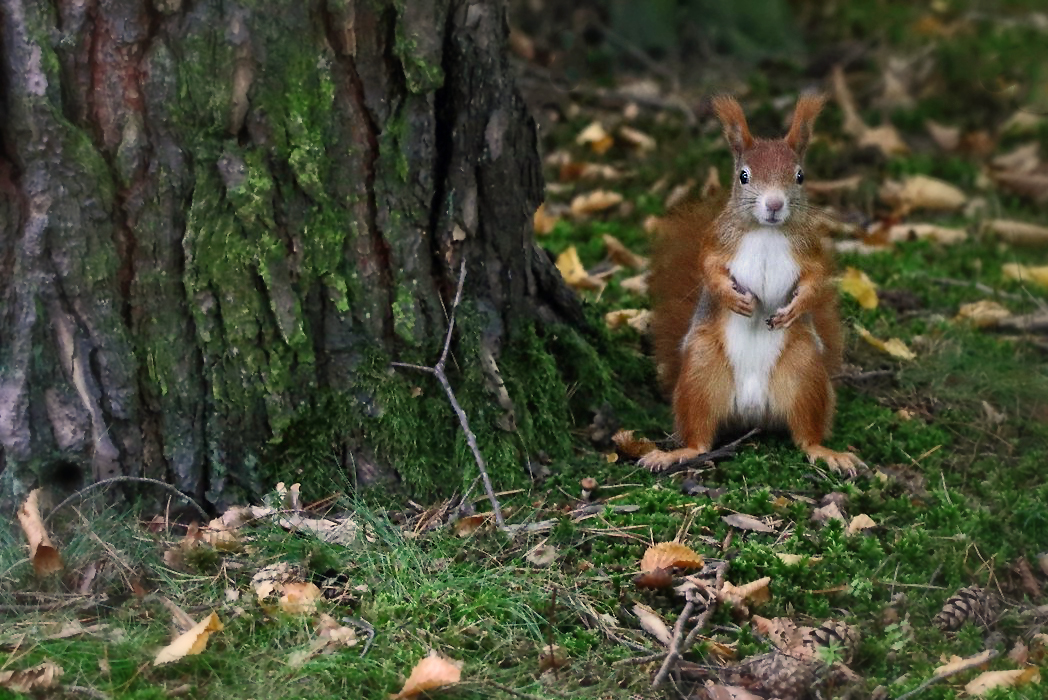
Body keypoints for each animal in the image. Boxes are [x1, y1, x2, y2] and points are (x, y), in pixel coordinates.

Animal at [641, 94, 863, 475]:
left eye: (800, 176)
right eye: (743, 176)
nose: (774, 204)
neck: (766, 231)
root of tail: (752, 412)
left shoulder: (811, 251)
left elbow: (815, 280)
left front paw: (794, 308)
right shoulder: (716, 242)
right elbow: (708, 269)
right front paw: (733, 299)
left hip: (804, 371)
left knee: (806, 434)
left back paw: (825, 451)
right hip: (701, 370)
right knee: (700, 435)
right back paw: (677, 452)